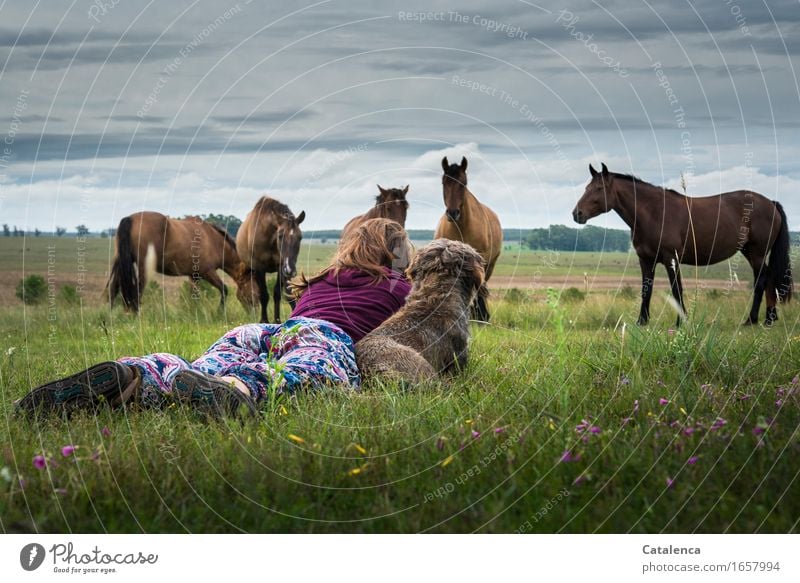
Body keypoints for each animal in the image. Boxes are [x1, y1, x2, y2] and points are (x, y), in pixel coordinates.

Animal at [107, 212, 256, 312]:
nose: (254, 312)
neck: (213, 240)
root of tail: (130, 219)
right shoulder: (208, 272)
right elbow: (224, 289)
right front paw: (219, 313)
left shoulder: (194, 276)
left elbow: (194, 296)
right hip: (142, 268)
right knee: (137, 290)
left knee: (114, 288)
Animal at [236, 196, 304, 324]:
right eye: (280, 235)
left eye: (300, 237)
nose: (290, 270)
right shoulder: (259, 268)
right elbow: (264, 295)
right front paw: (264, 320)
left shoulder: (281, 266)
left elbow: (280, 293)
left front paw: (278, 320)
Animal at [434, 155, 504, 322]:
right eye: (444, 182)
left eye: (463, 183)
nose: (453, 213)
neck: (462, 228)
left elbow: (479, 286)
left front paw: (481, 316)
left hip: (490, 264)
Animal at [572, 164, 792, 326]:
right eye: (586, 188)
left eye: (599, 188)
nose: (577, 214)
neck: (655, 213)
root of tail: (771, 203)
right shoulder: (646, 260)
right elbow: (646, 289)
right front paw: (642, 322)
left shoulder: (671, 258)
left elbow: (677, 289)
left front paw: (681, 322)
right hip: (750, 252)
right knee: (768, 278)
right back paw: (769, 318)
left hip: (756, 252)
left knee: (761, 280)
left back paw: (752, 320)